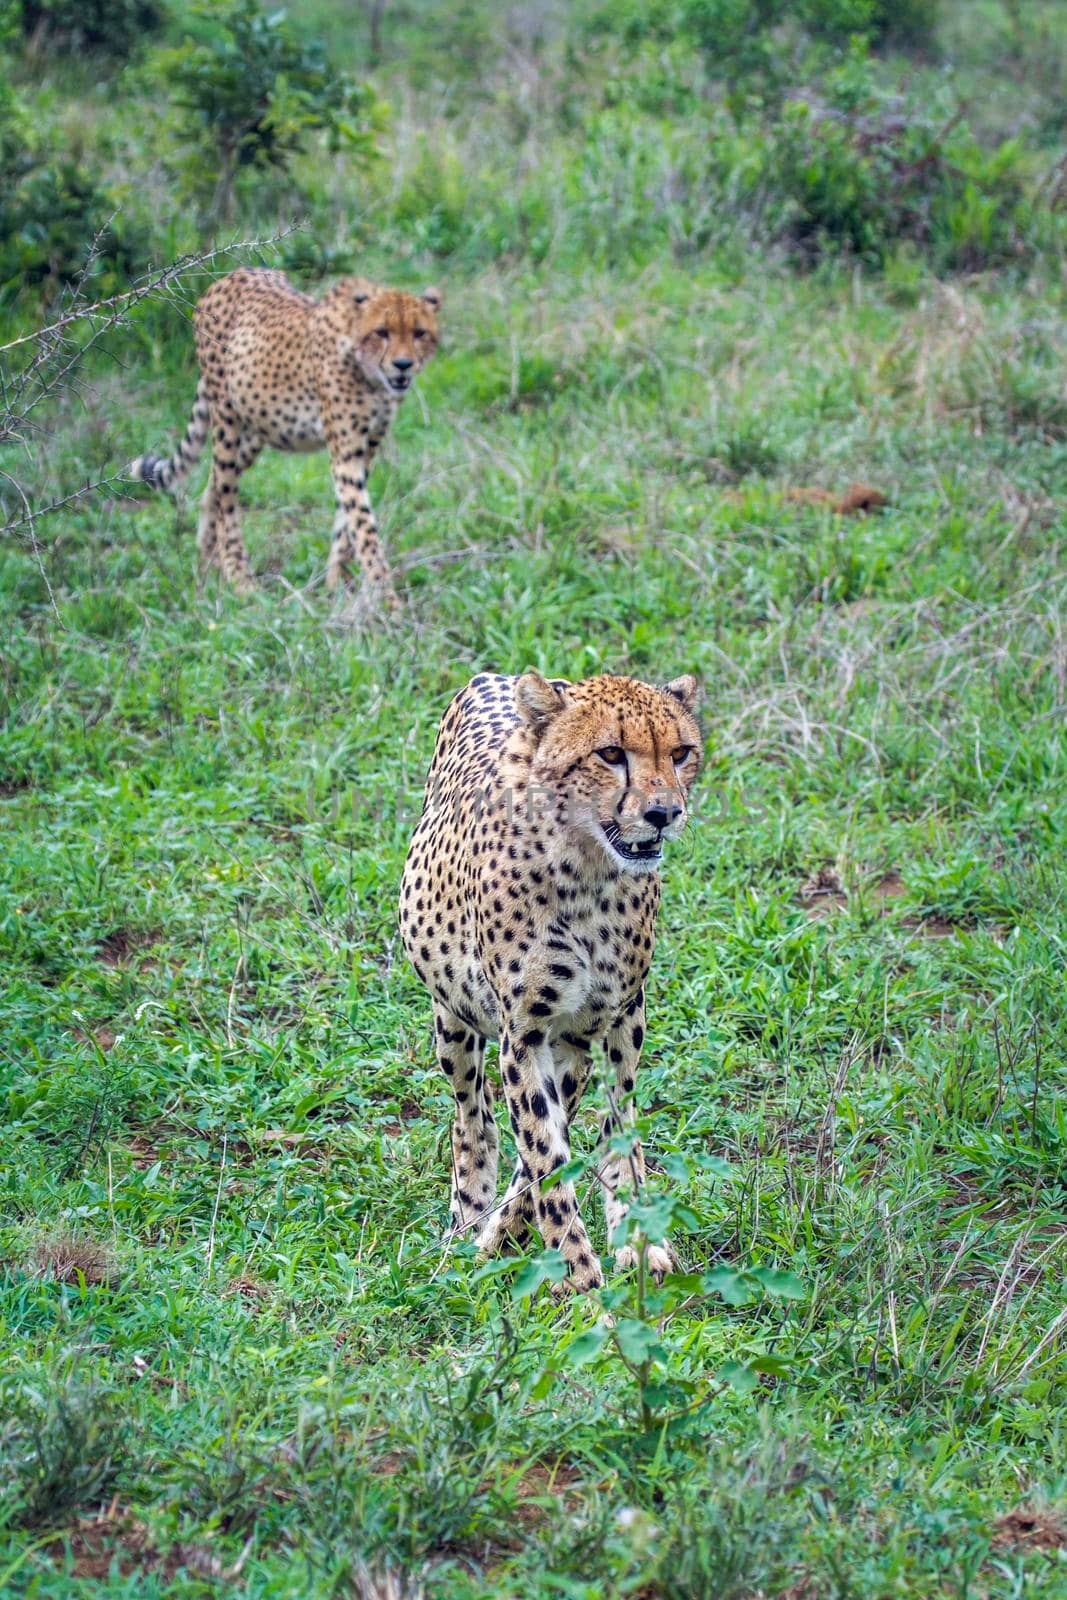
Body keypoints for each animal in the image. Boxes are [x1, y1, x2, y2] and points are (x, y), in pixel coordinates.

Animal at [131, 268, 441, 604]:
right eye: (382, 332)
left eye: (419, 333)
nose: (403, 365)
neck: (369, 374)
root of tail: (231, 275)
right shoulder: (345, 454)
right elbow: (363, 526)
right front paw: (387, 600)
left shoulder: (365, 450)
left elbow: (347, 523)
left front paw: (337, 583)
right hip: (226, 419)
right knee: (226, 496)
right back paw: (238, 578)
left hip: (259, 427)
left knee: (212, 486)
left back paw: (206, 566)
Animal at [399, 668, 700, 1292]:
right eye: (610, 754)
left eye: (681, 753)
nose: (664, 813)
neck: (591, 872)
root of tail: (497, 674)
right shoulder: (524, 1033)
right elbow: (545, 1155)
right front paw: (582, 1280)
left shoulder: (606, 1025)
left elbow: (596, 1139)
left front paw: (630, 1246)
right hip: (453, 1021)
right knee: (475, 1119)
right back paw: (470, 1222)